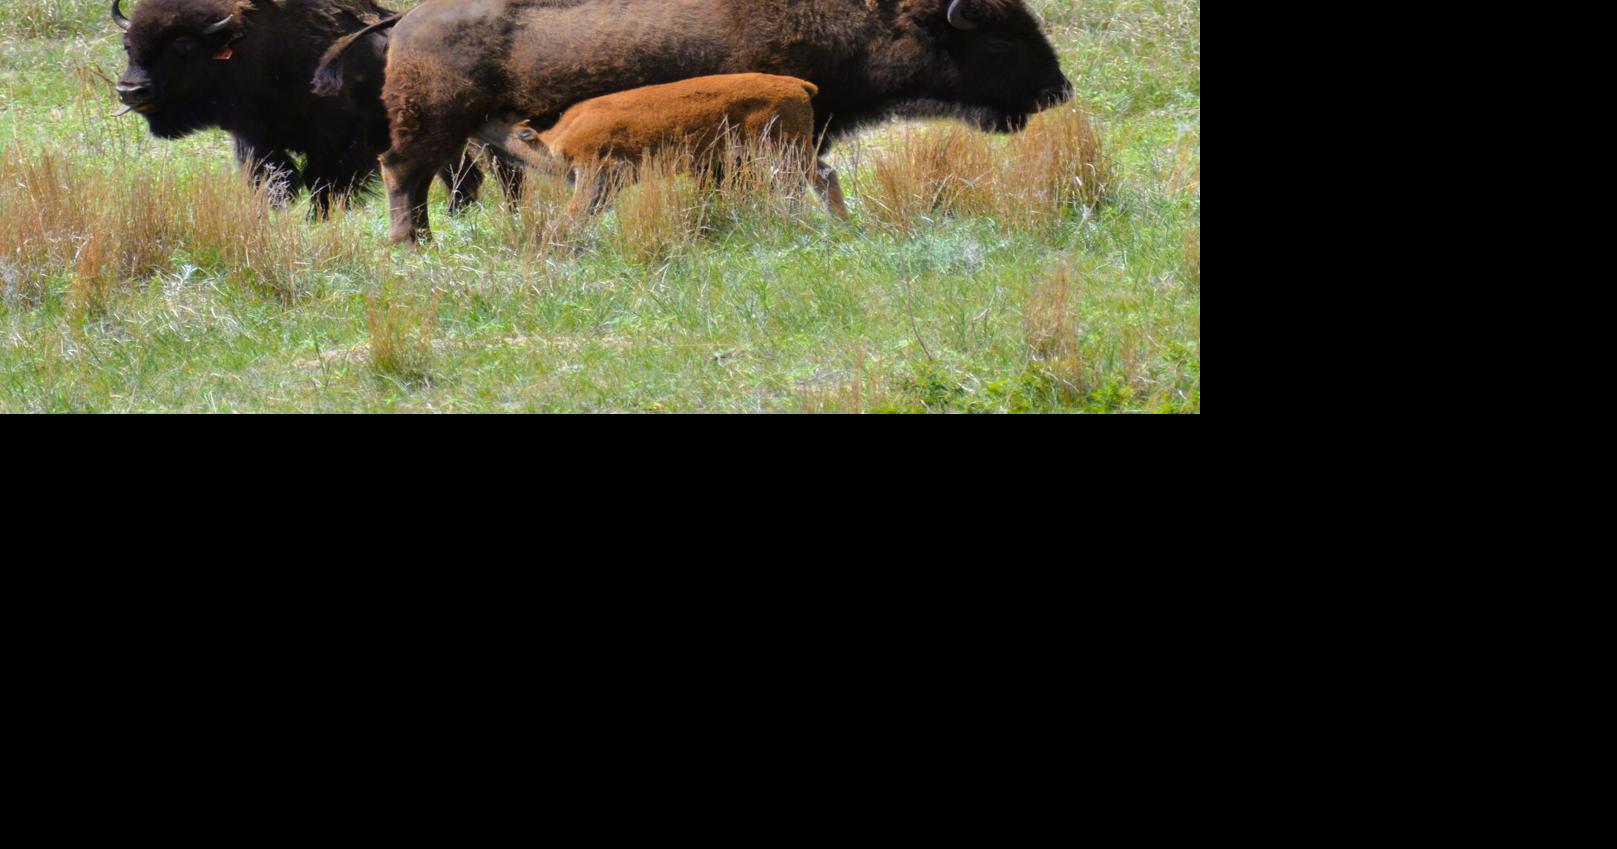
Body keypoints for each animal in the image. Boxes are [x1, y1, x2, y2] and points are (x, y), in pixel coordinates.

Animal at [111, 0, 492, 216]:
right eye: (128, 44)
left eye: (185, 46)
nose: (131, 90)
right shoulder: (256, 139)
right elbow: (275, 180)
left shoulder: (339, 142)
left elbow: (325, 183)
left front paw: (318, 219)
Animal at [314, 0, 1072, 244]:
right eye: (1001, 34)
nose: (1058, 88)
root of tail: (406, 19)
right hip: (431, 127)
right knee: (403, 172)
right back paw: (410, 244)